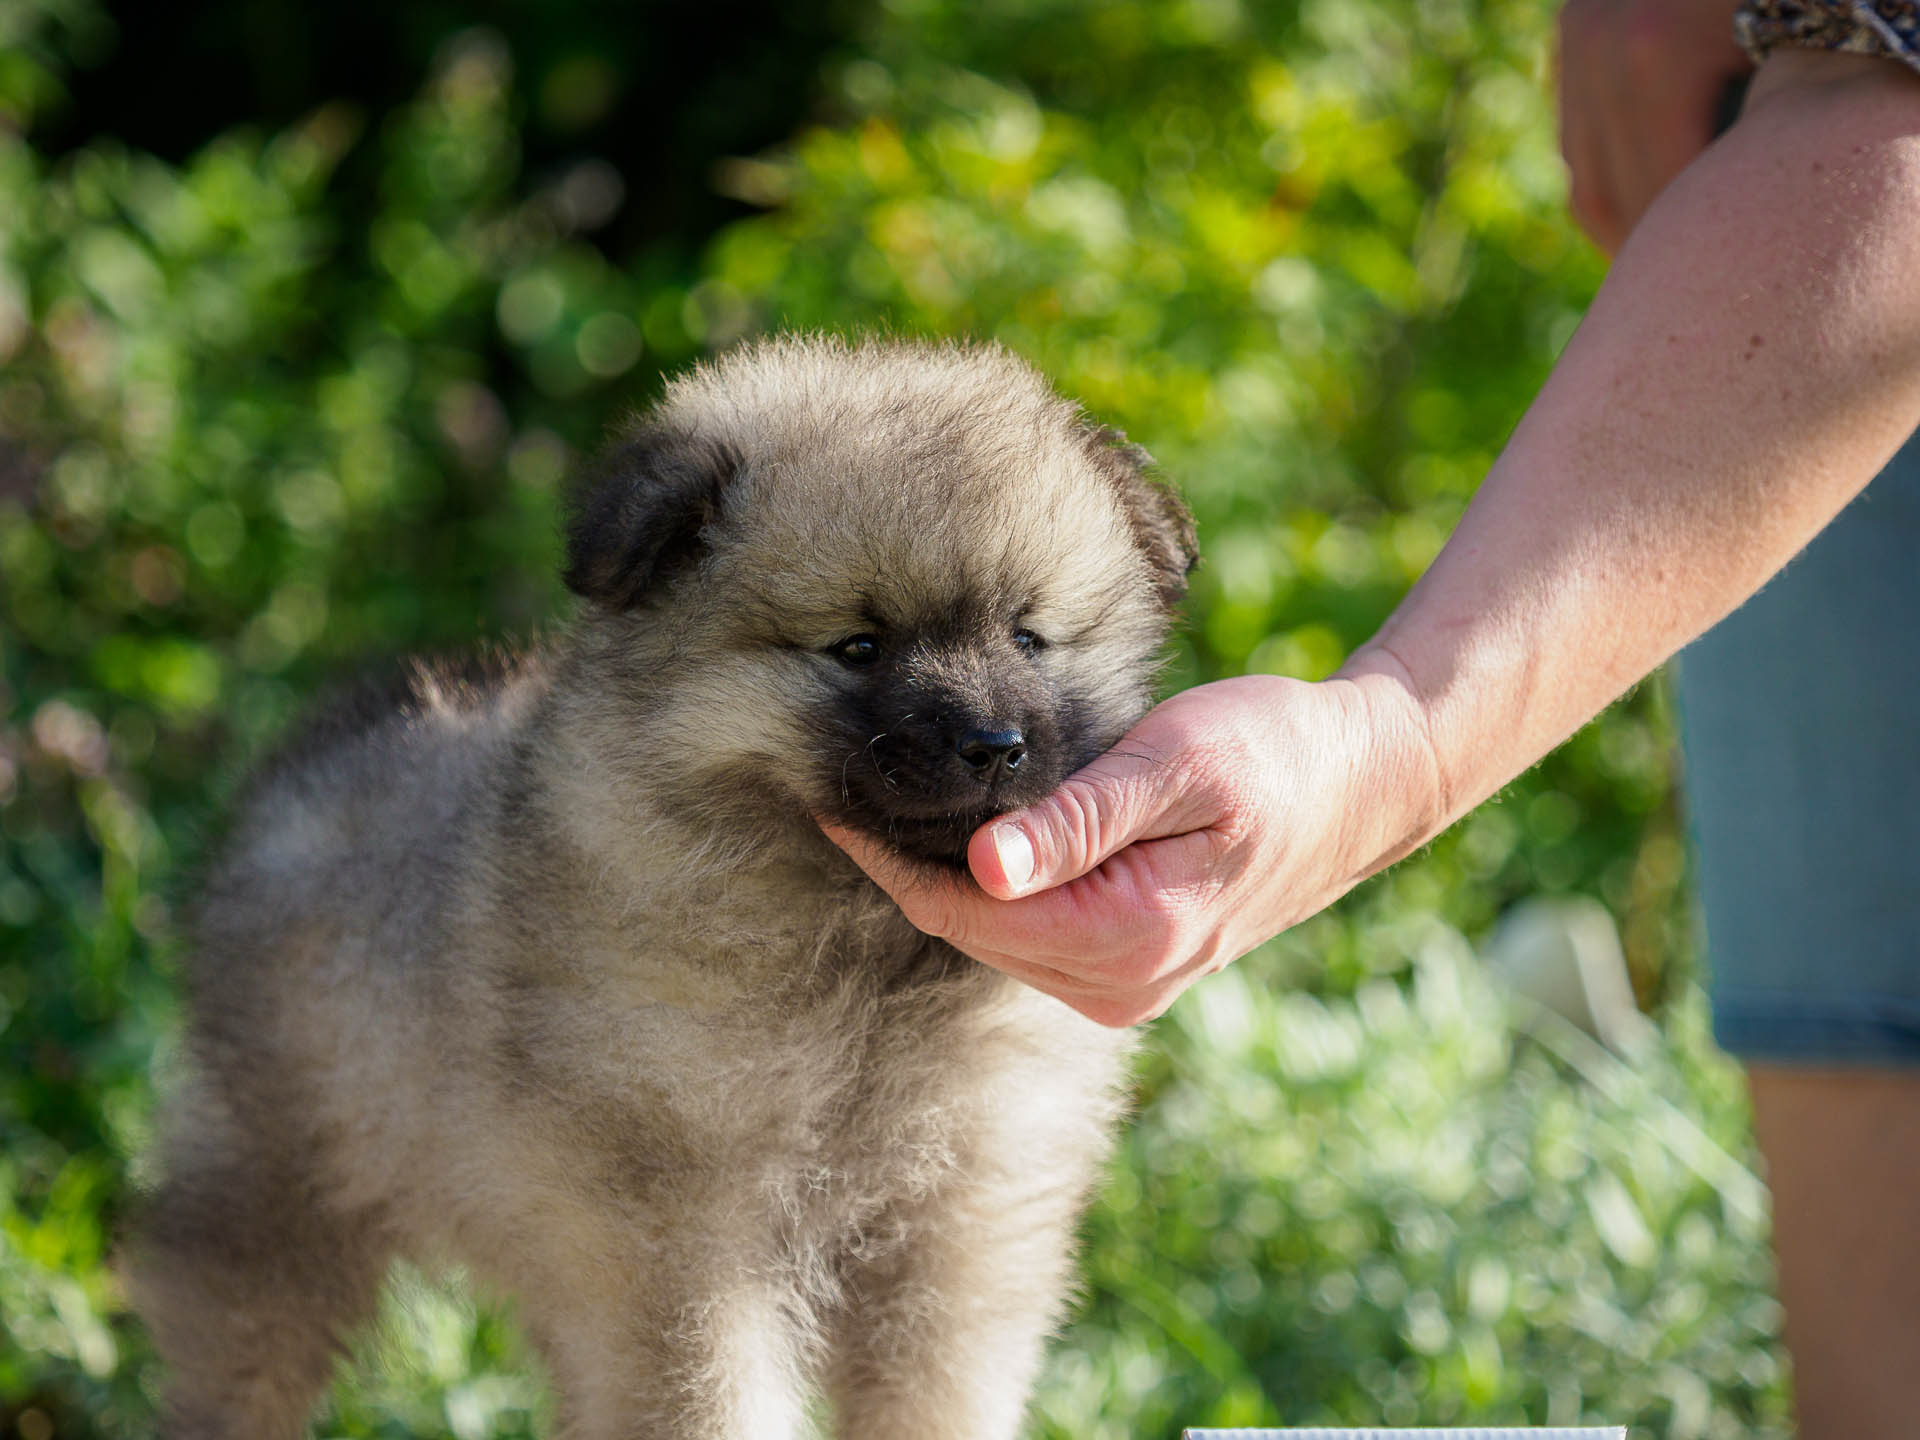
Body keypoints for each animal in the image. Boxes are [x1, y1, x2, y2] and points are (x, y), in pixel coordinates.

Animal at [127, 336, 1190, 1440]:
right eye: (858, 647)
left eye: (1028, 637)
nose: (994, 746)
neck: (864, 959)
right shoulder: (673, 1242)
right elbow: (705, 1397)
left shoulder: (956, 1230)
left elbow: (931, 1394)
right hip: (276, 1190)